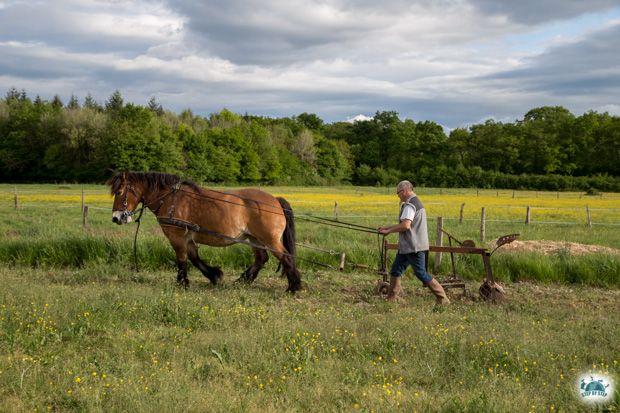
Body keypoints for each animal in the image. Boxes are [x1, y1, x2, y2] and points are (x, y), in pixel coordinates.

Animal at [108, 169, 302, 292]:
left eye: (119, 192)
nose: (116, 218)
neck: (171, 199)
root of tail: (275, 200)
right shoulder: (188, 237)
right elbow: (194, 258)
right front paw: (214, 275)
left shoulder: (177, 237)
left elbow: (182, 259)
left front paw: (182, 283)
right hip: (254, 238)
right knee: (261, 259)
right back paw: (243, 280)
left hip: (270, 239)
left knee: (286, 257)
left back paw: (294, 287)